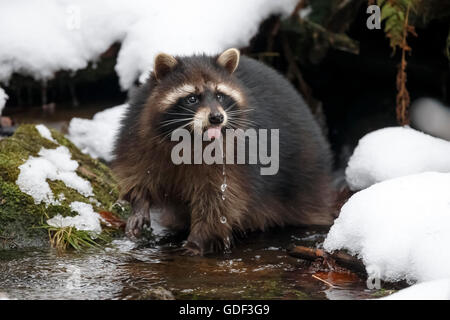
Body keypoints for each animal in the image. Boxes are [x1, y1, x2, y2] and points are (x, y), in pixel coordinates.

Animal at [113, 48, 338, 256]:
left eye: (220, 95)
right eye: (192, 98)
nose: (216, 118)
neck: (191, 139)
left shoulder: (235, 158)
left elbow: (221, 199)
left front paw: (199, 239)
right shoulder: (139, 134)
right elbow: (138, 171)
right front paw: (139, 203)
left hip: (307, 183)